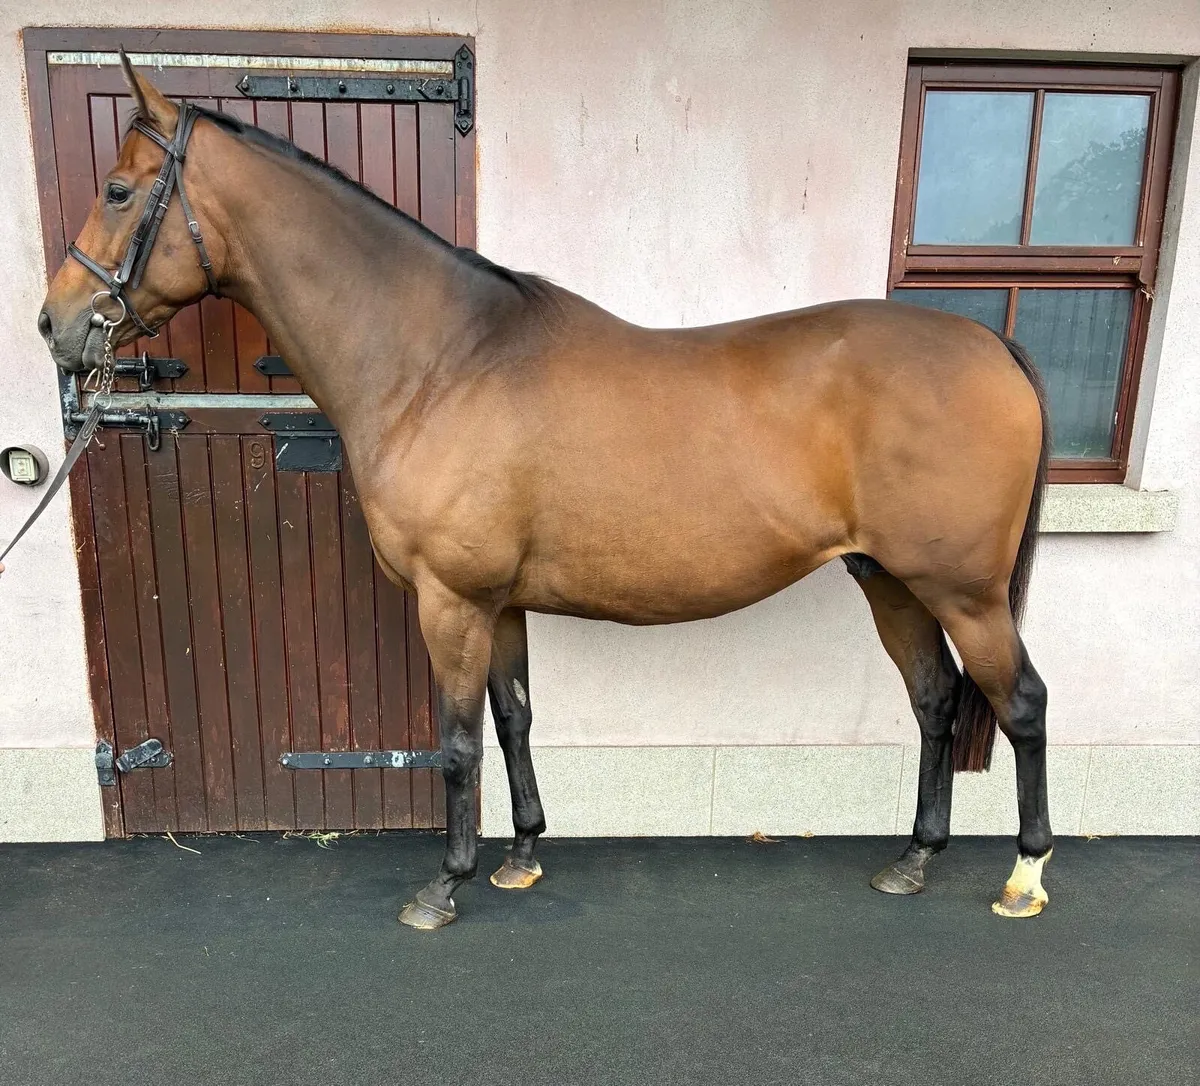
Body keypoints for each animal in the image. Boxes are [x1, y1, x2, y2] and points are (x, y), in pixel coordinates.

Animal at [39, 56, 1053, 930]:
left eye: (118, 191)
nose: (55, 325)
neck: (441, 363)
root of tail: (991, 345)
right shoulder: (500, 603)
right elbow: (516, 717)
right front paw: (520, 856)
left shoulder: (451, 601)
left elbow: (458, 742)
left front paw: (443, 887)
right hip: (890, 580)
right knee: (936, 701)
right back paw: (913, 860)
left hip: (962, 592)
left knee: (1021, 704)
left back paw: (1024, 875)